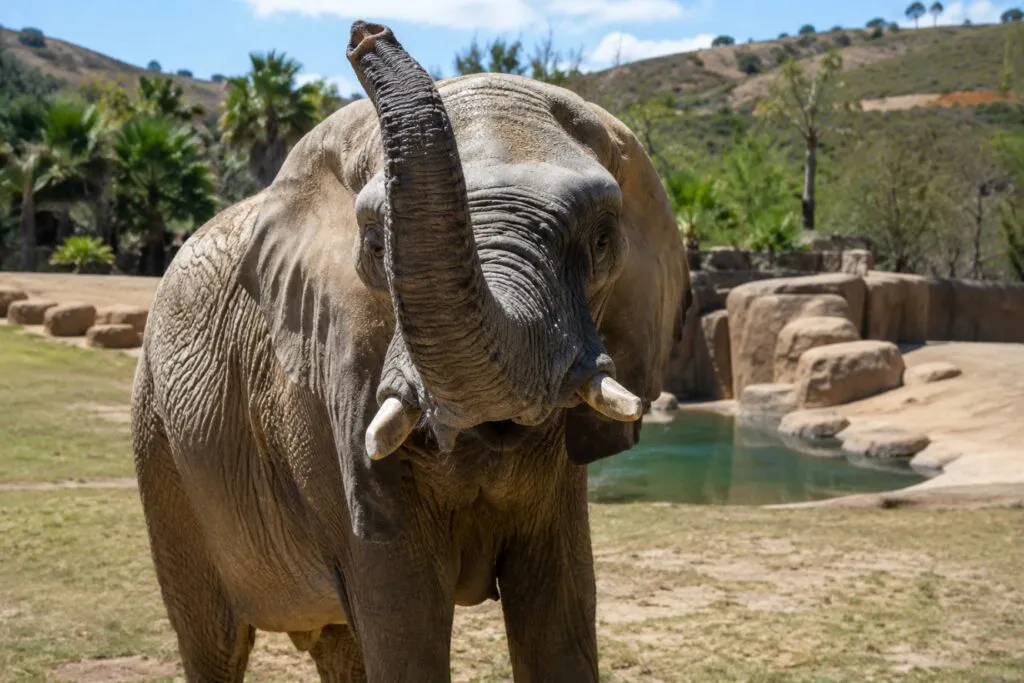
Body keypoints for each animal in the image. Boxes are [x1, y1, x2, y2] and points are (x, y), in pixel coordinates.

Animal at [131, 20, 687, 683]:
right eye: (375, 245)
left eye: (603, 240)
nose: (367, 35)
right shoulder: (329, 389)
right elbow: (405, 621)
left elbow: (560, 614)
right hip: (160, 447)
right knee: (213, 641)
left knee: (338, 646)